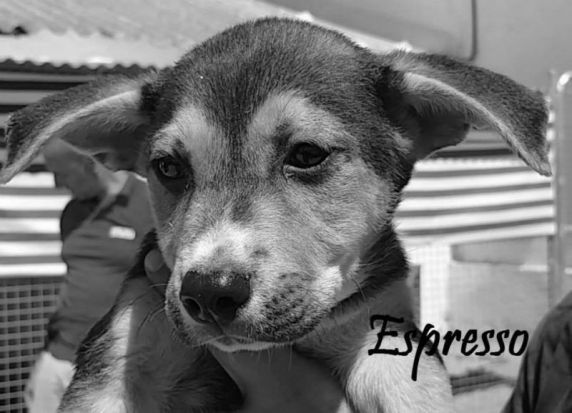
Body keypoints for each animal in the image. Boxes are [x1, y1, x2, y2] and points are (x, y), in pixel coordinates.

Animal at [0, 17, 550, 413]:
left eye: (307, 155)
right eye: (168, 167)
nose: (209, 293)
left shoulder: (380, 323)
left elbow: (413, 384)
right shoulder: (120, 355)